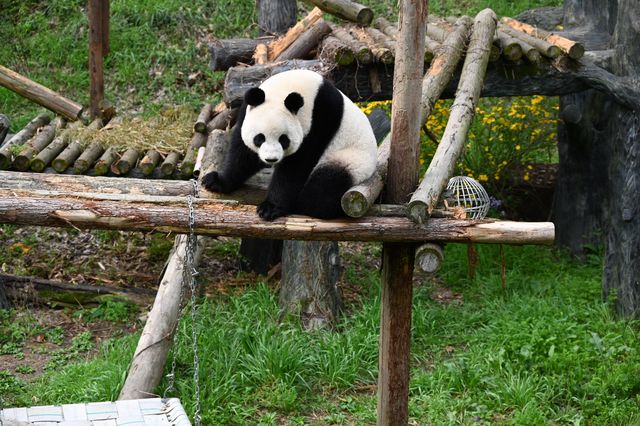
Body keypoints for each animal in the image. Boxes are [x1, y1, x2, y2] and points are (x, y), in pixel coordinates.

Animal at [202, 68, 378, 221]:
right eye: (259, 138)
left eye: (283, 139)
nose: (271, 160)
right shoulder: (247, 110)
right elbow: (243, 154)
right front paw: (217, 181)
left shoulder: (321, 119)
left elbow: (296, 166)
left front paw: (270, 208)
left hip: (350, 159)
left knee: (323, 189)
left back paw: (302, 202)